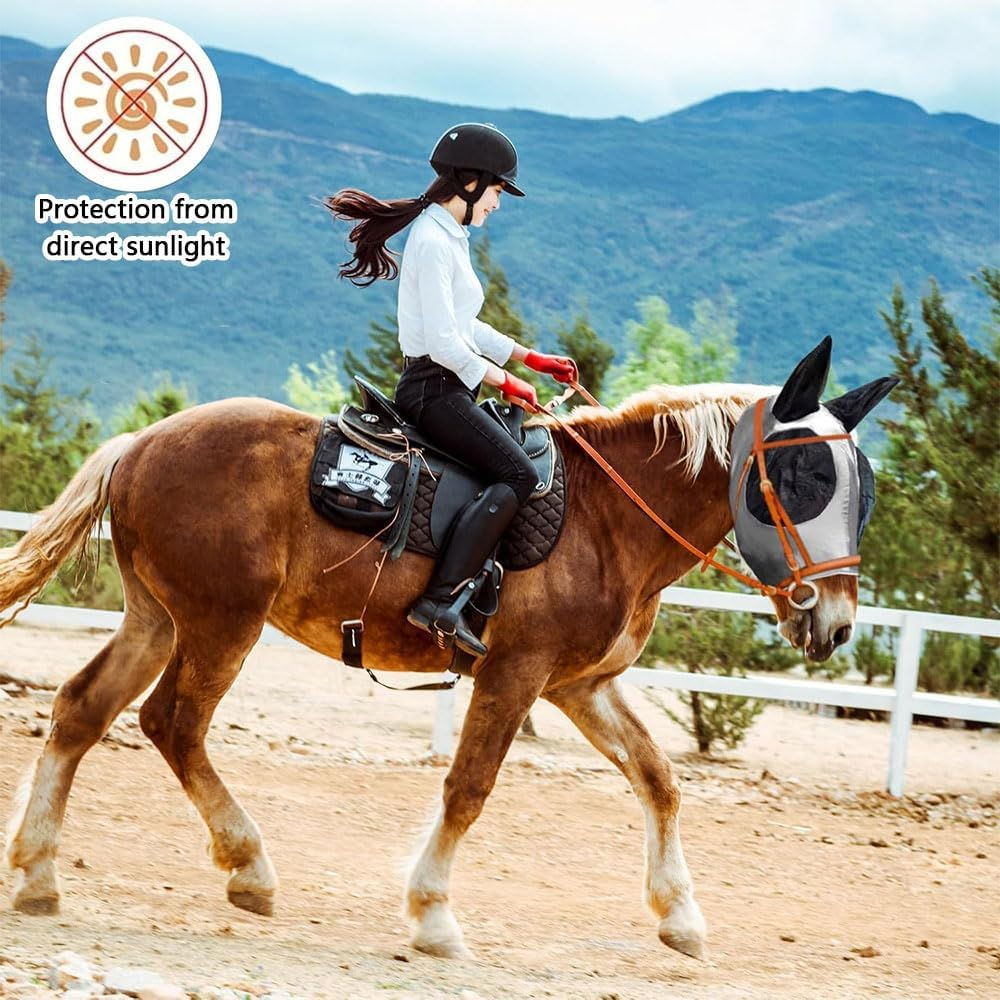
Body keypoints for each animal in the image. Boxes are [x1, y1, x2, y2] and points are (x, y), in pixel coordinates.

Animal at [1, 338, 895, 961]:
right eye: (808, 479)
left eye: (865, 490)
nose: (834, 622)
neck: (611, 518)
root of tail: (143, 441)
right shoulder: (515, 673)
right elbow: (468, 788)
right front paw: (433, 917)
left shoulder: (582, 685)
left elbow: (659, 779)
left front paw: (680, 916)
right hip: (222, 625)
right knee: (174, 724)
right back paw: (248, 866)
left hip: (158, 619)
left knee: (82, 710)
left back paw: (39, 872)